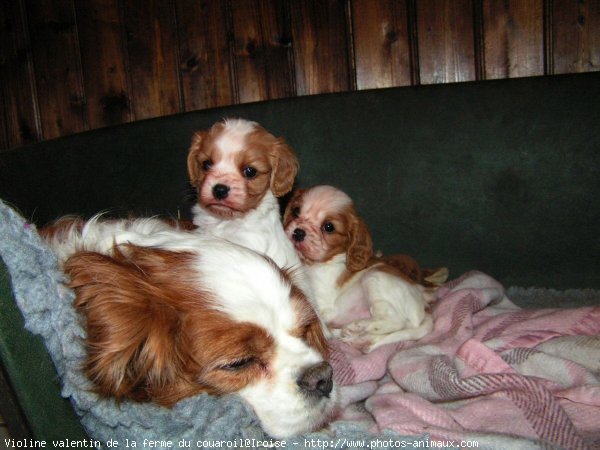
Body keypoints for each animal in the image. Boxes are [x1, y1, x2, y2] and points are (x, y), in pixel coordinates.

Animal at [282, 185, 446, 352]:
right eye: (295, 211)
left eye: (328, 227)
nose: (298, 232)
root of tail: (423, 306)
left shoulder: (321, 302)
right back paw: (359, 339)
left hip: (373, 278)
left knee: (396, 321)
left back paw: (358, 326)